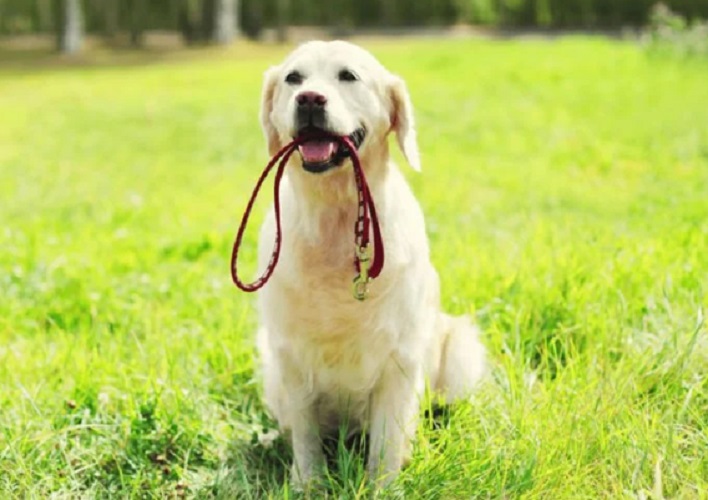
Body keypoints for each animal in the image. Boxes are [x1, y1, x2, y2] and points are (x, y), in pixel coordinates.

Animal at [252, 41, 484, 486]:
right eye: (294, 78)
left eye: (348, 76)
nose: (309, 99)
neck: (336, 221)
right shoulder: (290, 356)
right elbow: (305, 438)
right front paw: (307, 484)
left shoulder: (399, 360)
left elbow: (386, 445)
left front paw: (383, 486)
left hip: (461, 353)